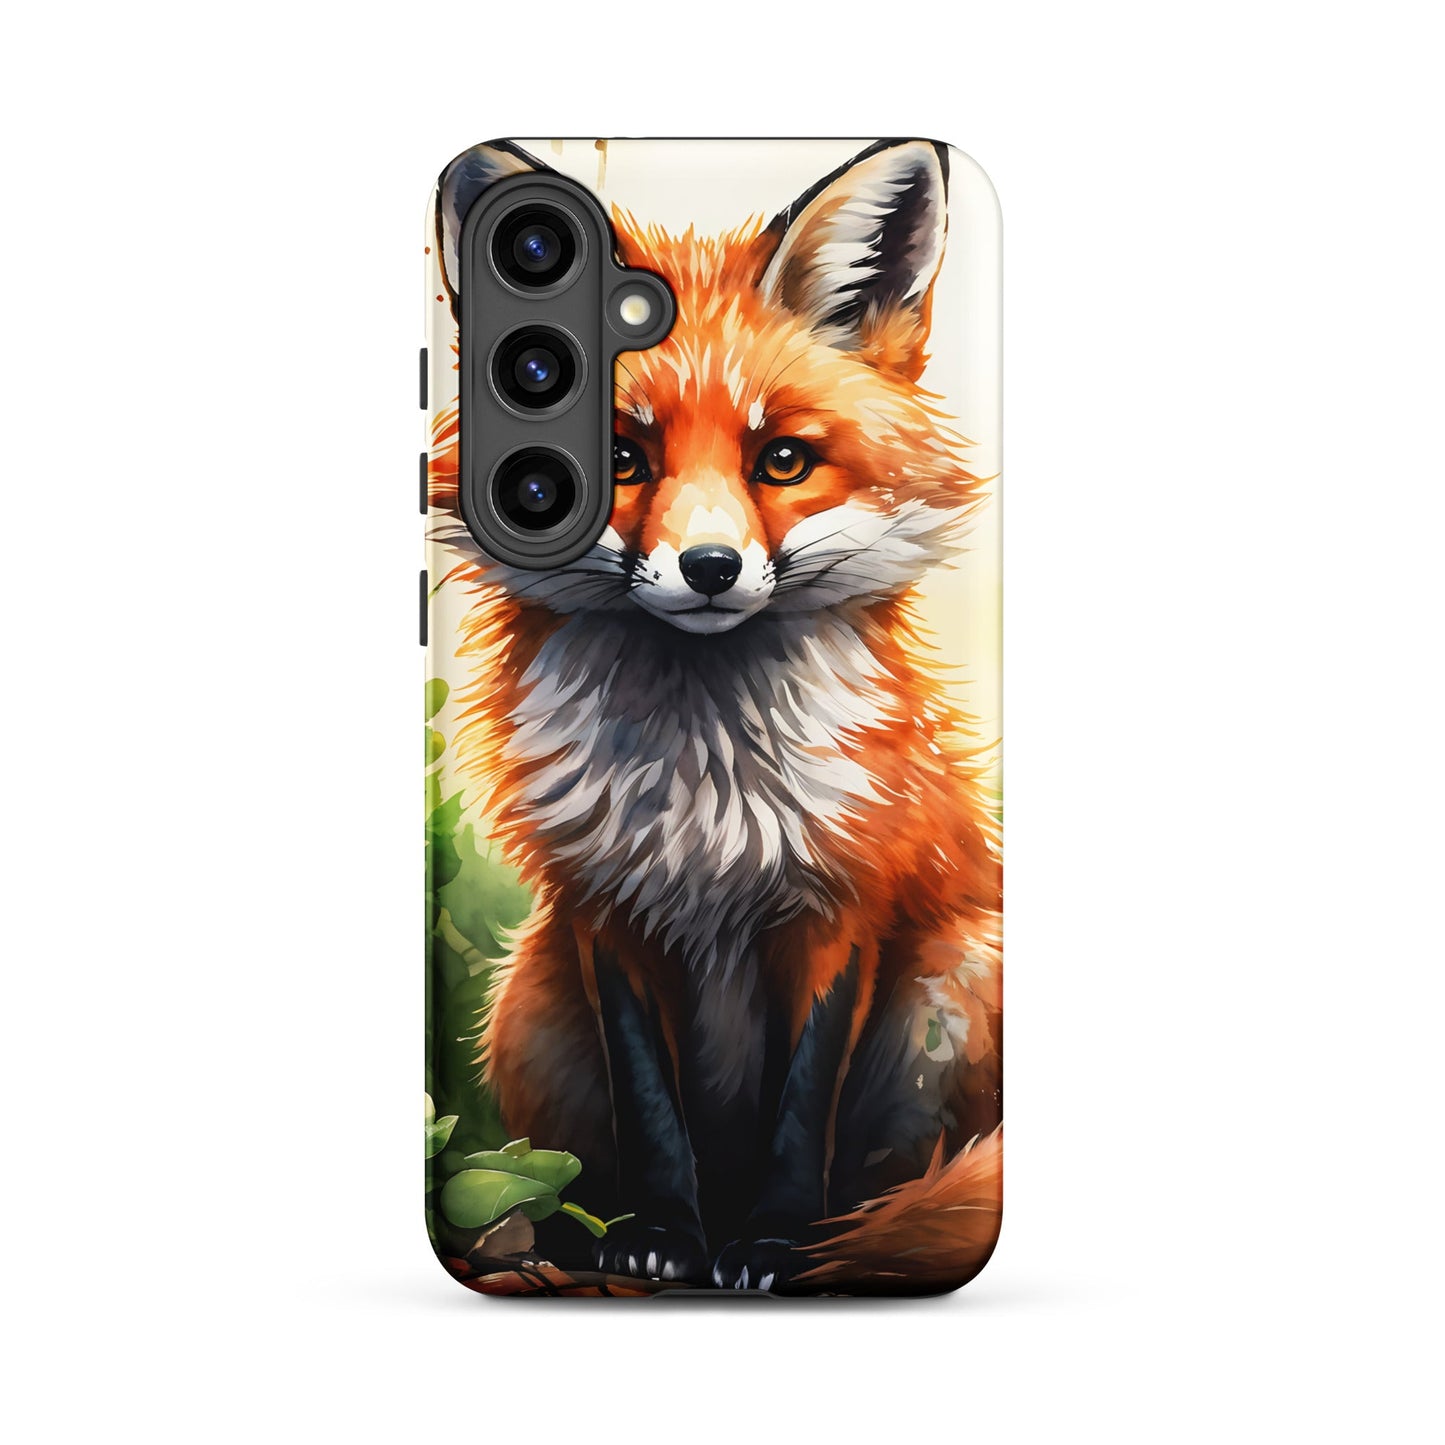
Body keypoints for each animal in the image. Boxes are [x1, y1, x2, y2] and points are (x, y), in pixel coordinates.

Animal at [428, 139, 1002, 1293]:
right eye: (622, 460)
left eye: (780, 458)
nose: (707, 567)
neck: (707, 797)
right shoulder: (603, 909)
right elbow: (652, 1107)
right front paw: (660, 1236)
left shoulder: (842, 904)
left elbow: (801, 1107)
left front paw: (773, 1242)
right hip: (527, 997)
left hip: (954, 982)